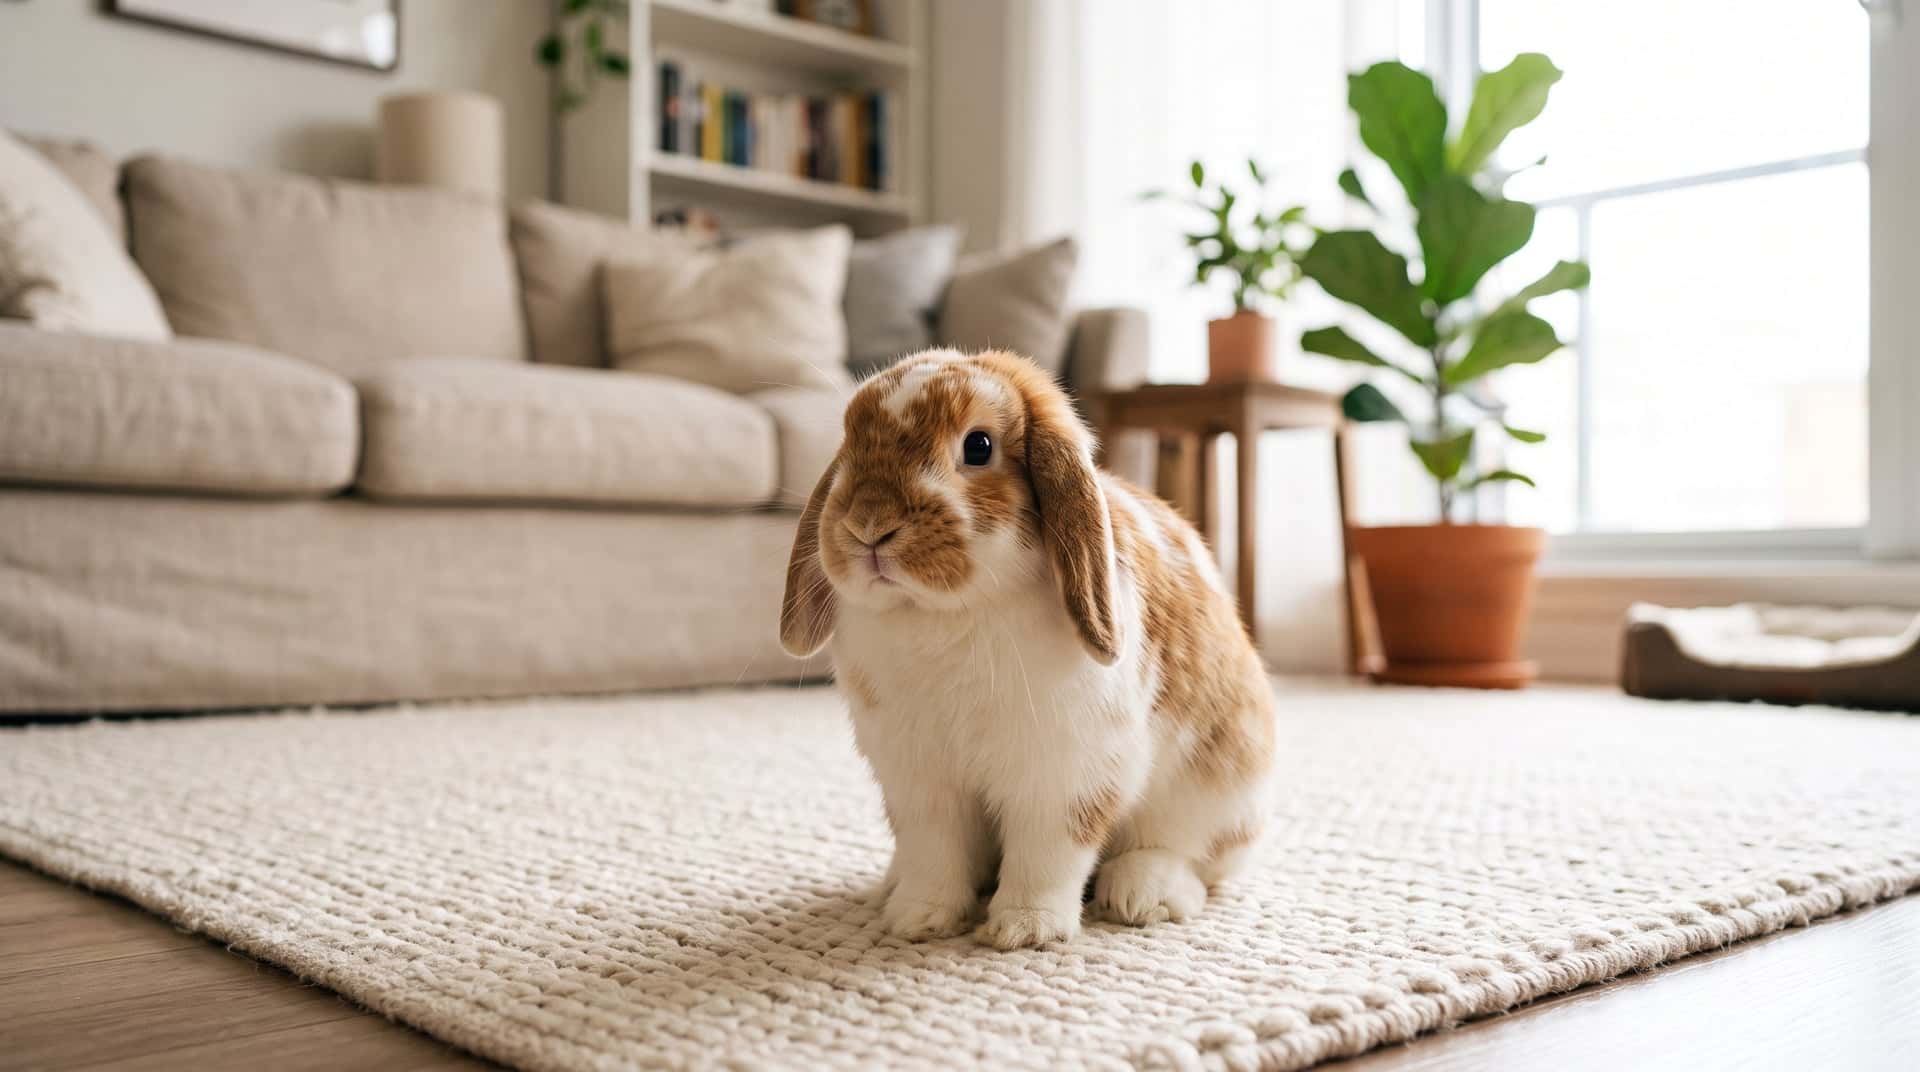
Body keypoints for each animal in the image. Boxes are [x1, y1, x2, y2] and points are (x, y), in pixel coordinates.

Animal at [779, 349, 1275, 949]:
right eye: (849, 439)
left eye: (978, 446)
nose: (869, 524)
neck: (945, 613)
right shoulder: (919, 781)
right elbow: (934, 852)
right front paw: (919, 919)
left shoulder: (1063, 774)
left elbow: (1048, 853)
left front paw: (1025, 929)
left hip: (1217, 792)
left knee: (1191, 854)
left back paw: (1141, 894)